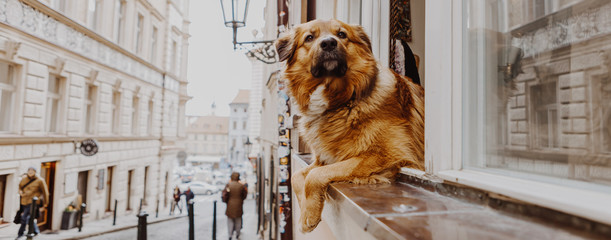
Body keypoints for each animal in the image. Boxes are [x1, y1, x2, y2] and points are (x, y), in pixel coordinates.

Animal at [278, 19, 426, 232]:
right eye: (309, 37)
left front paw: (308, 215)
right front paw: (305, 208)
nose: (329, 43)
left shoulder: (386, 154)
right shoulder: (324, 158)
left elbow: (314, 175)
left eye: (341, 34)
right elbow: (297, 176)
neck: (344, 102)